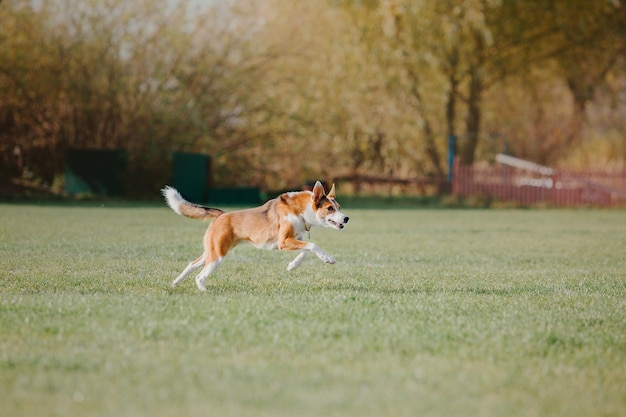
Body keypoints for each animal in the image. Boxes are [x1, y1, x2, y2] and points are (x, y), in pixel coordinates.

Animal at [160, 180, 346, 290]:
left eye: (339, 207)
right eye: (330, 208)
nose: (346, 218)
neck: (300, 210)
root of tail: (221, 215)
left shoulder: (294, 239)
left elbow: (305, 251)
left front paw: (292, 266)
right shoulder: (284, 241)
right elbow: (312, 245)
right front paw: (328, 258)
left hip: (211, 252)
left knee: (192, 264)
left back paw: (175, 283)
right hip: (217, 256)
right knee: (199, 277)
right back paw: (204, 291)